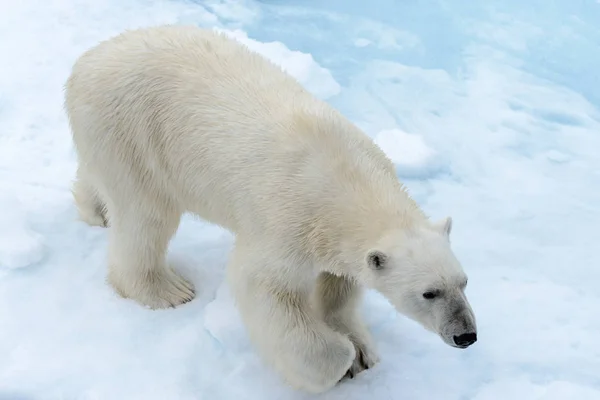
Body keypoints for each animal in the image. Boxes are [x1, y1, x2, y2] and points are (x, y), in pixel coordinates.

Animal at [65, 25, 478, 394]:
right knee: (146, 215)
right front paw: (343, 358)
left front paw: (361, 350)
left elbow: (338, 287)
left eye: (463, 282)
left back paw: (97, 211)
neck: (348, 177)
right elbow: (266, 288)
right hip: (130, 130)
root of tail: (85, 61)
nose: (466, 335)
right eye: (429, 293)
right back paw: (167, 289)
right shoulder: (290, 221)